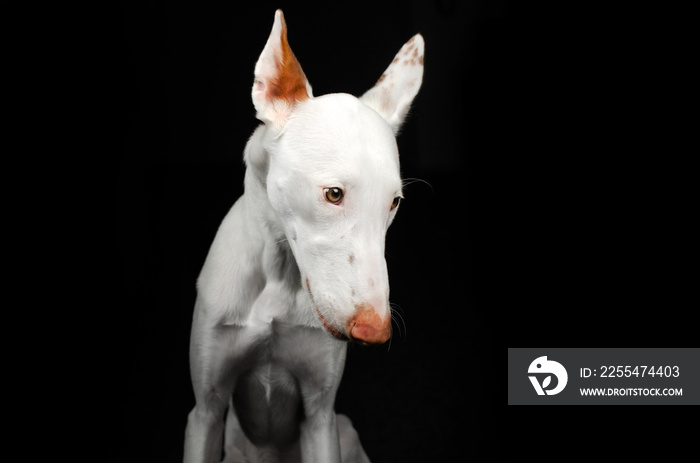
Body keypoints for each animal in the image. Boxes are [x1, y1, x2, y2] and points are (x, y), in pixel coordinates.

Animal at [183, 10, 424, 463]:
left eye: (395, 203)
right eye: (334, 194)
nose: (376, 332)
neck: (279, 278)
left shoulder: (320, 415)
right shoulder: (206, 409)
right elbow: (206, 408)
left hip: (346, 431)